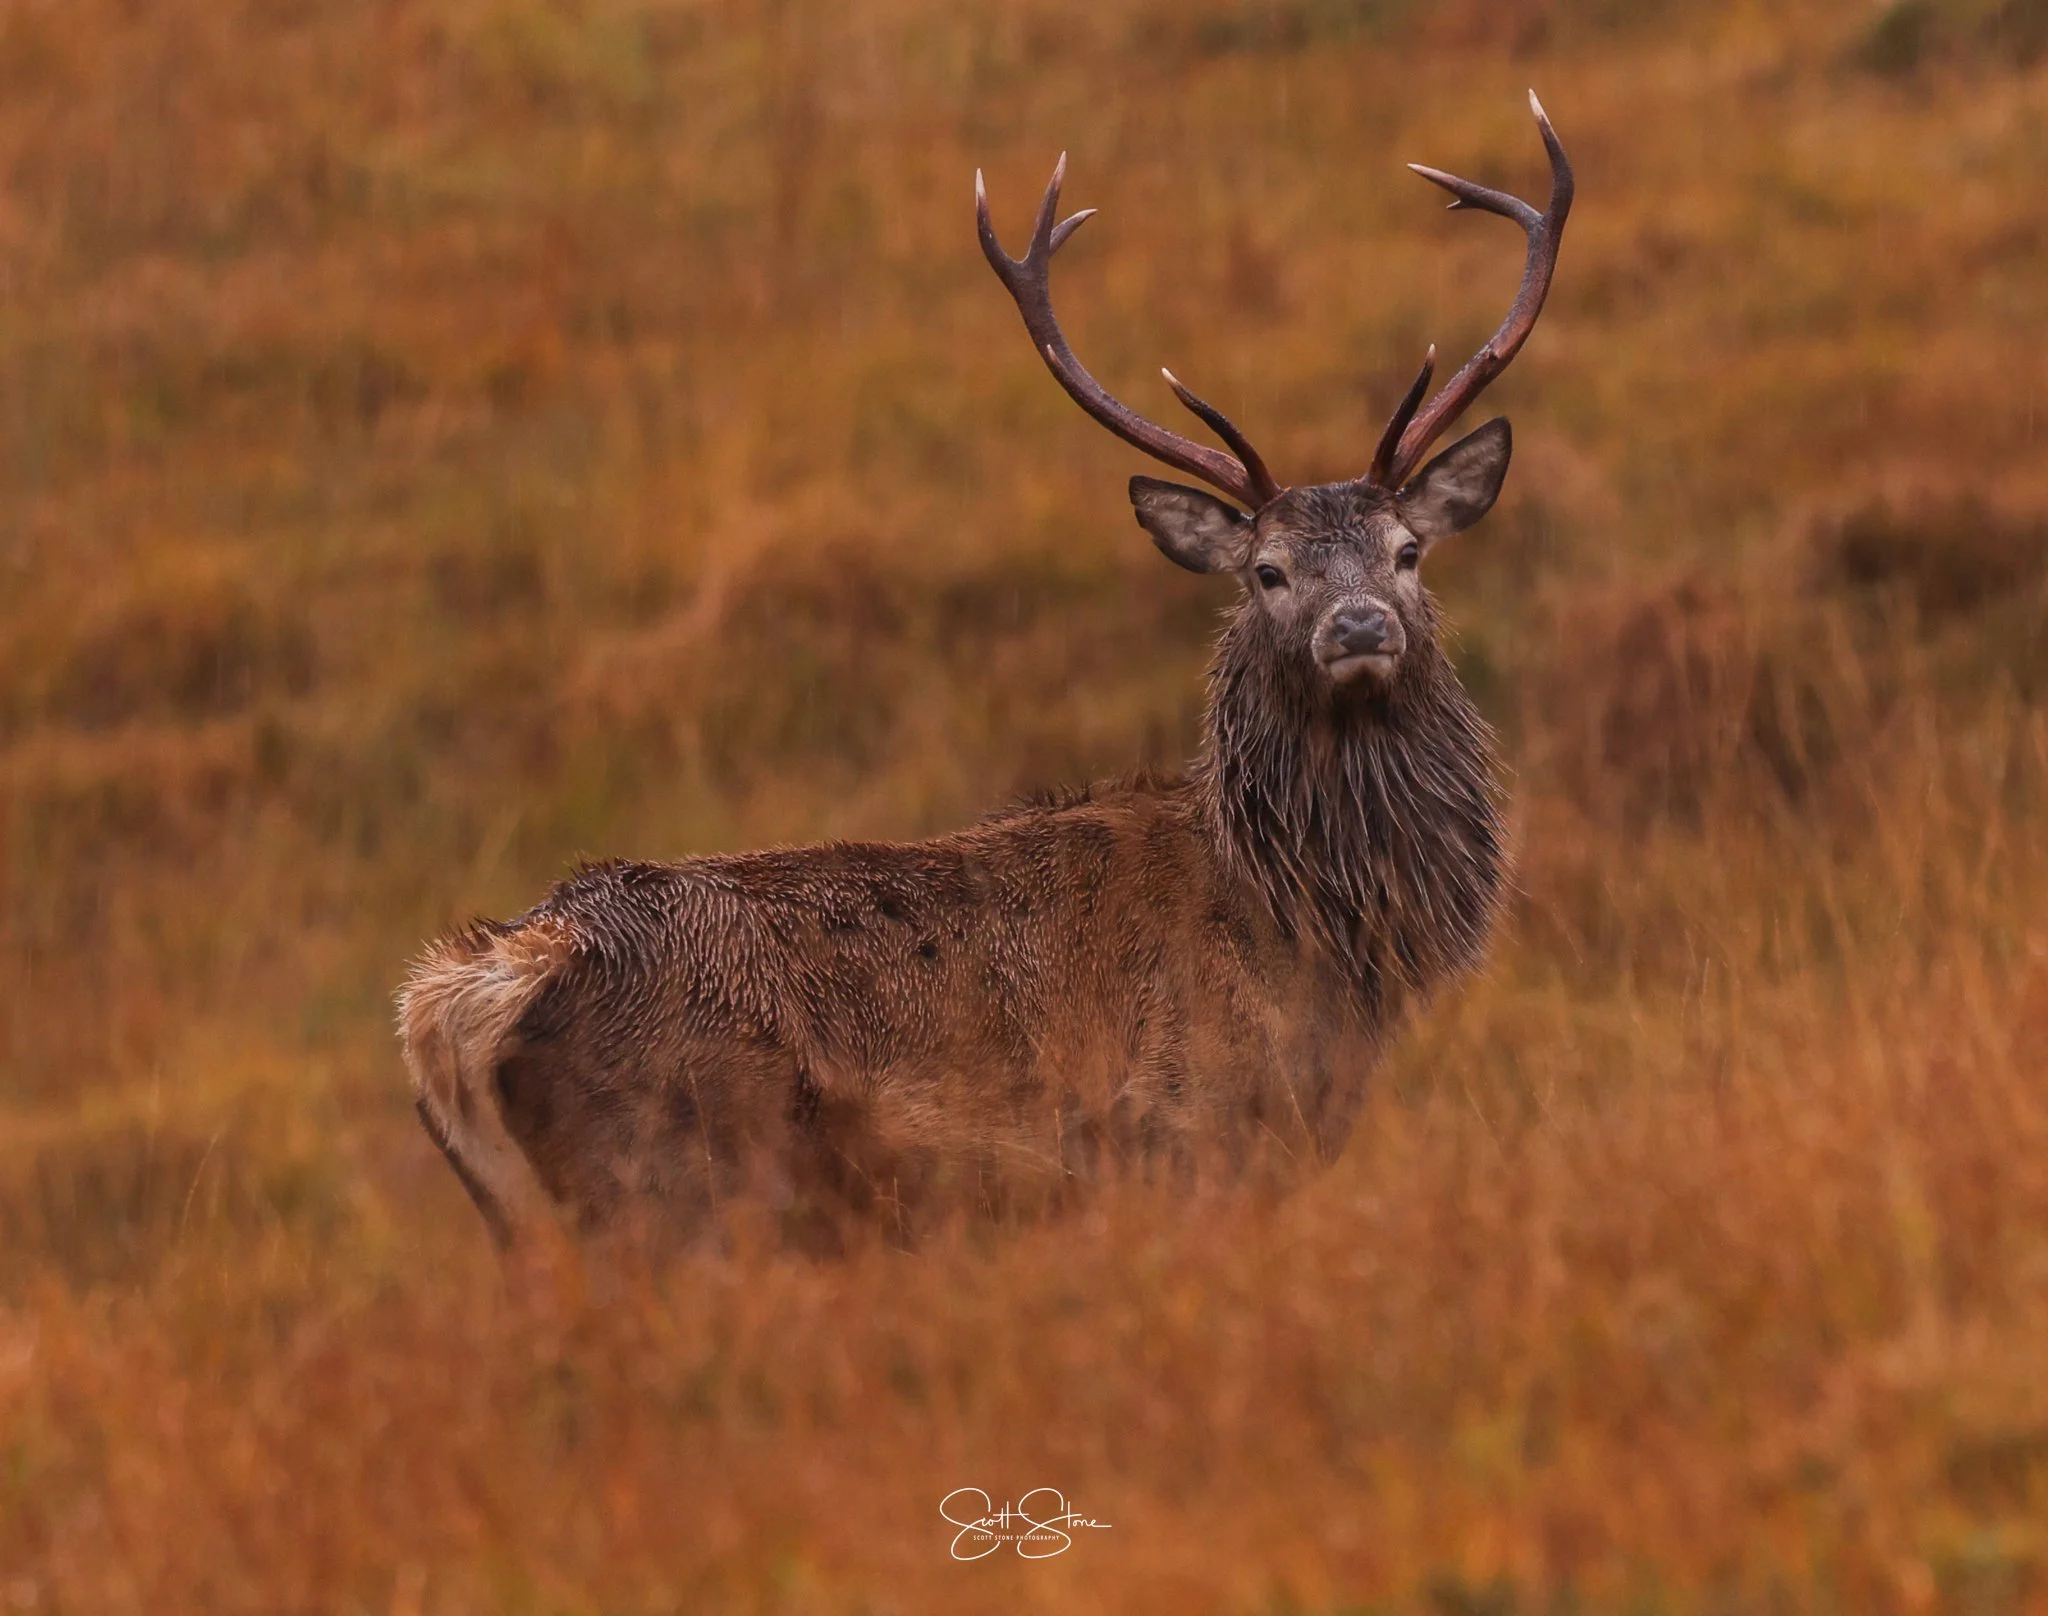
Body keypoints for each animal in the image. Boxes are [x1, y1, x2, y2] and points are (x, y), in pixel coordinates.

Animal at [399, 93, 1573, 1251]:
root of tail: (458, 997)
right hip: (671, 1195)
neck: (1312, 934)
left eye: (1407, 550)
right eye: (1266, 570)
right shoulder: (1185, 1139)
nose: (1359, 625)